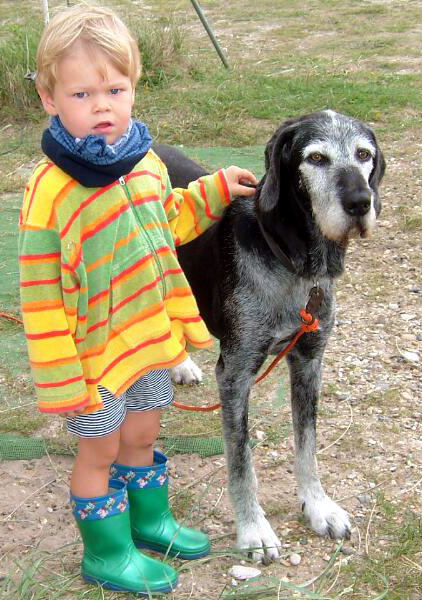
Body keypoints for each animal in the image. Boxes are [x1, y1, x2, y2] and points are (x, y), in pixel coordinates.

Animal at [152, 111, 386, 564]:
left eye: (364, 154)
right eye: (315, 158)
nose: (359, 203)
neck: (293, 263)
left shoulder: (309, 362)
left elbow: (307, 447)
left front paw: (318, 506)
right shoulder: (236, 374)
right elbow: (242, 462)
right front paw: (253, 530)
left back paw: (181, 364)